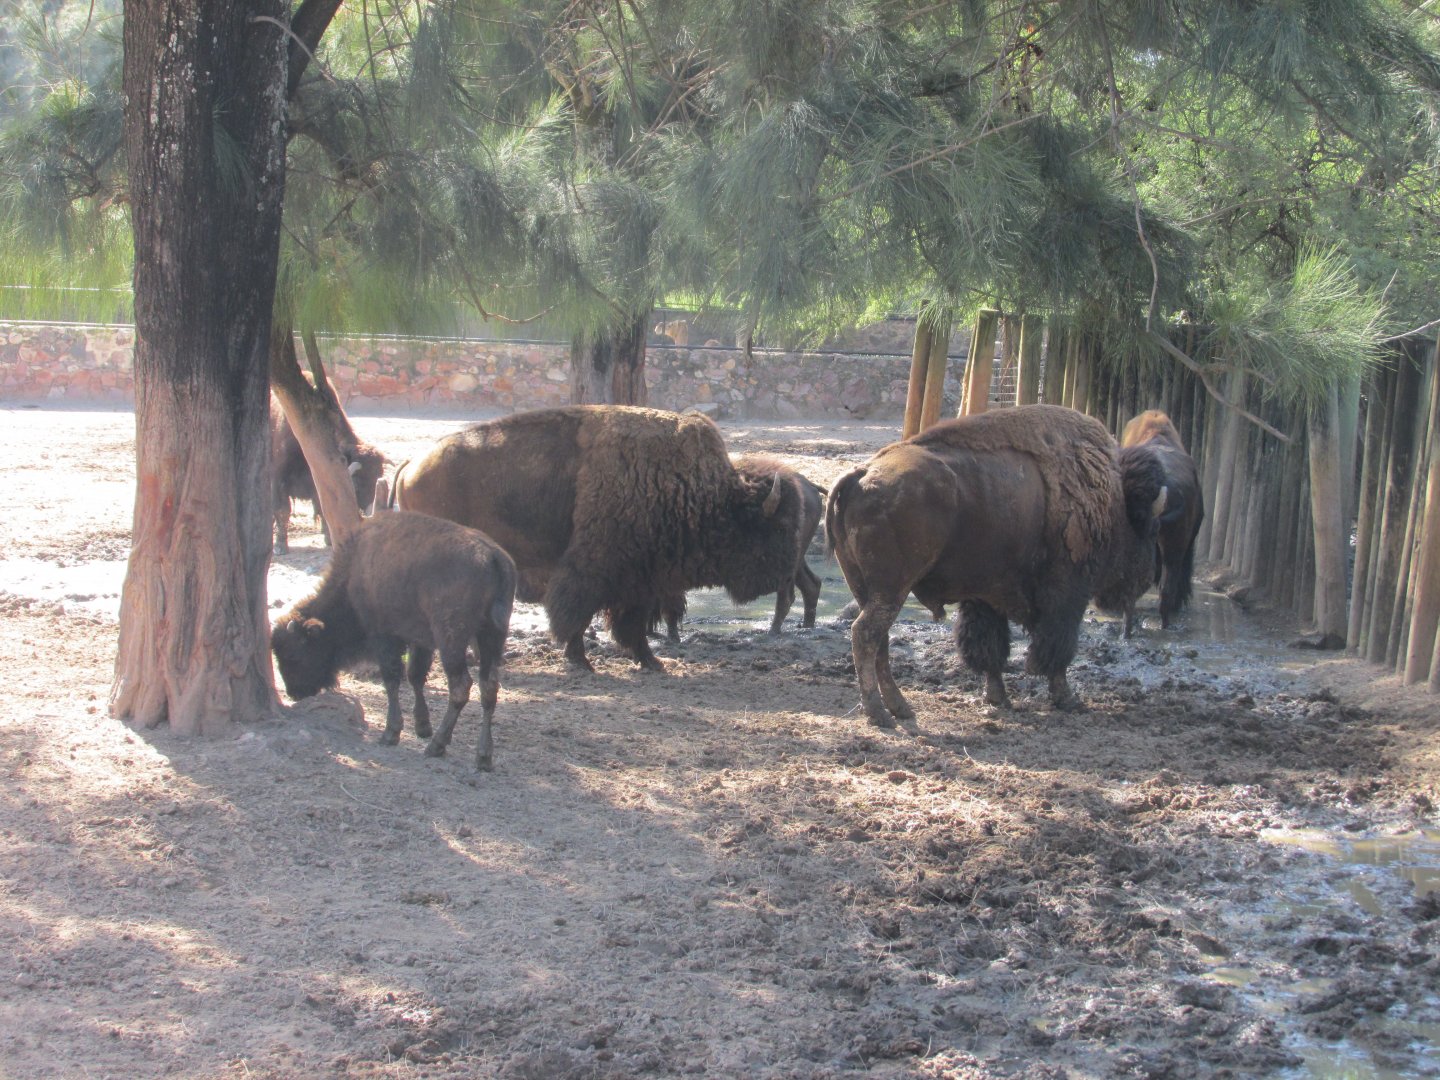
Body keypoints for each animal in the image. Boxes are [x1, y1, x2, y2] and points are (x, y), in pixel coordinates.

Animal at [270, 511, 516, 770]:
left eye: (293, 654)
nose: (295, 693)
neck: (355, 571)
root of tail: (493, 556)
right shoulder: (420, 640)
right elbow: (415, 676)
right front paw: (422, 726)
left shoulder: (384, 636)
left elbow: (392, 679)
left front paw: (391, 733)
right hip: (491, 636)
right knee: (489, 687)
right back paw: (483, 756)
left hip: (452, 640)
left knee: (461, 687)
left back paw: (437, 746)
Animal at [271, 400, 387, 555]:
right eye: (357, 484)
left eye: (377, 476)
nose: (369, 511)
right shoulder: (278, 479)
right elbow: (282, 510)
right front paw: (280, 545)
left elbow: (323, 508)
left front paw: (329, 539)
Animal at [392, 405, 805, 671]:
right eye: (780, 527)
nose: (786, 574)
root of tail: (411, 465)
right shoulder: (594, 572)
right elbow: (578, 616)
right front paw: (581, 661)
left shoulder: (641, 580)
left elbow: (629, 624)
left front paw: (651, 661)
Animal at [827, 404, 1166, 724]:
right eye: (1149, 529)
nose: (1149, 575)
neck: (1112, 500)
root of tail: (861, 473)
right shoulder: (1066, 594)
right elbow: (1056, 647)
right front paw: (1066, 699)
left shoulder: (987, 595)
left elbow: (990, 647)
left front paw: (998, 698)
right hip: (891, 589)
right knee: (866, 634)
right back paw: (879, 713)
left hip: (864, 587)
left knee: (878, 639)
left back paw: (900, 708)